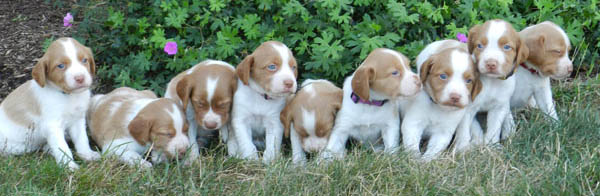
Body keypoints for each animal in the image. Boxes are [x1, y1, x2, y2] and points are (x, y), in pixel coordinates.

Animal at [0, 38, 99, 170]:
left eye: (84, 60)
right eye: (61, 66)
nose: (80, 78)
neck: (68, 96)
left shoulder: (77, 120)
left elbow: (82, 139)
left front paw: (87, 155)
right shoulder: (53, 126)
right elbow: (62, 147)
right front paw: (69, 166)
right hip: (17, 147)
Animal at [452, 19, 528, 152]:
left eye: (507, 47)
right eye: (479, 46)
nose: (491, 63)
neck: (492, 82)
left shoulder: (498, 107)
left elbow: (494, 128)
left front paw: (492, 146)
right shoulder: (469, 108)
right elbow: (465, 129)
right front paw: (463, 147)